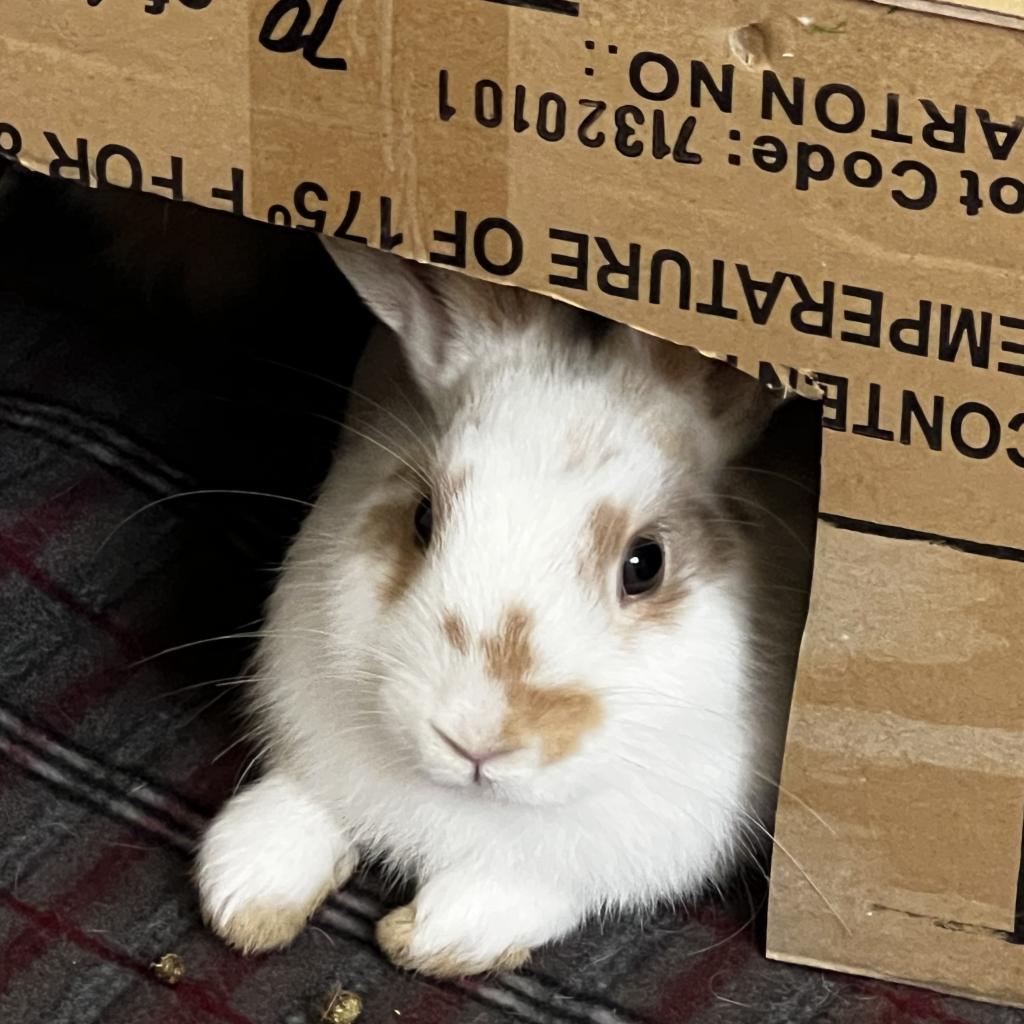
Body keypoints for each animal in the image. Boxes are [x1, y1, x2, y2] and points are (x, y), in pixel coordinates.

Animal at [192, 237, 815, 974]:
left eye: (646, 563)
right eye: (423, 517)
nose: (475, 738)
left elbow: (517, 891)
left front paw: (436, 933)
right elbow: (303, 805)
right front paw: (243, 889)